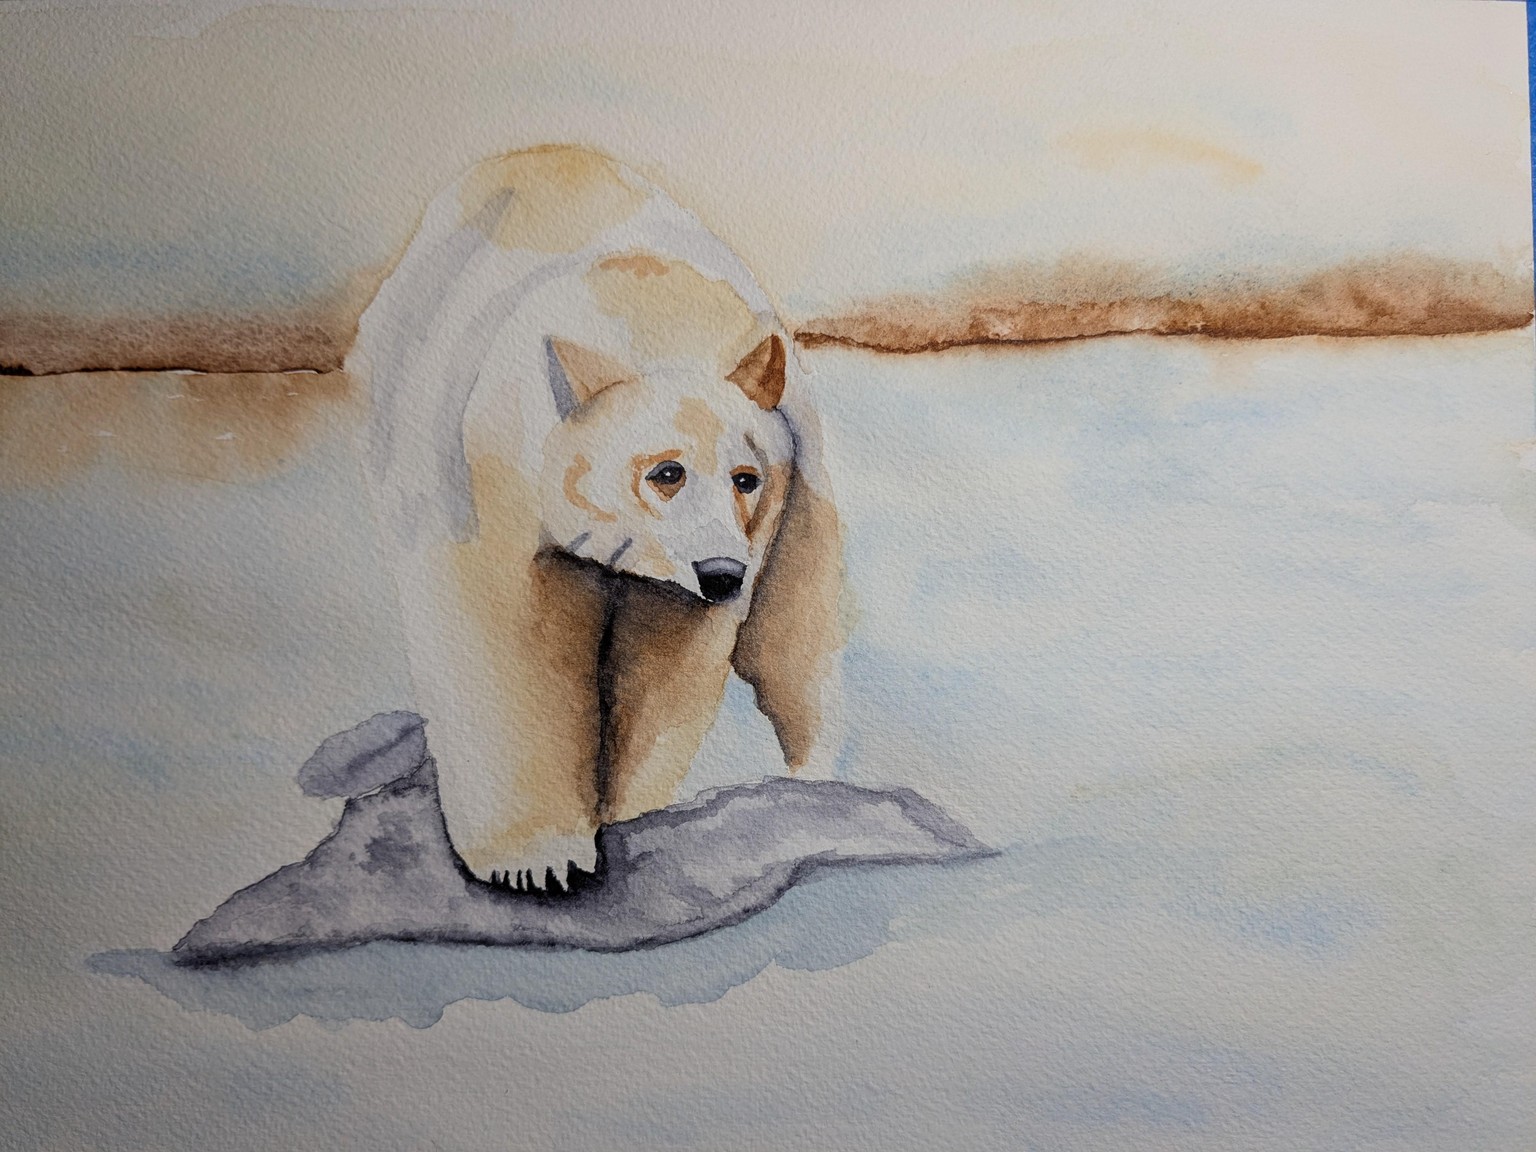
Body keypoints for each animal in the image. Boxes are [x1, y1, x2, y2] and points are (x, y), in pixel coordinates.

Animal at [347, 146, 847, 892]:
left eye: (746, 477)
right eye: (666, 472)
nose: (721, 573)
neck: (640, 300)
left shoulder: (755, 519)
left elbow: (669, 665)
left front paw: (623, 814)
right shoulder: (485, 472)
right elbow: (502, 637)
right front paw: (541, 861)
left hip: (807, 500)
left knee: (796, 635)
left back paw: (817, 782)